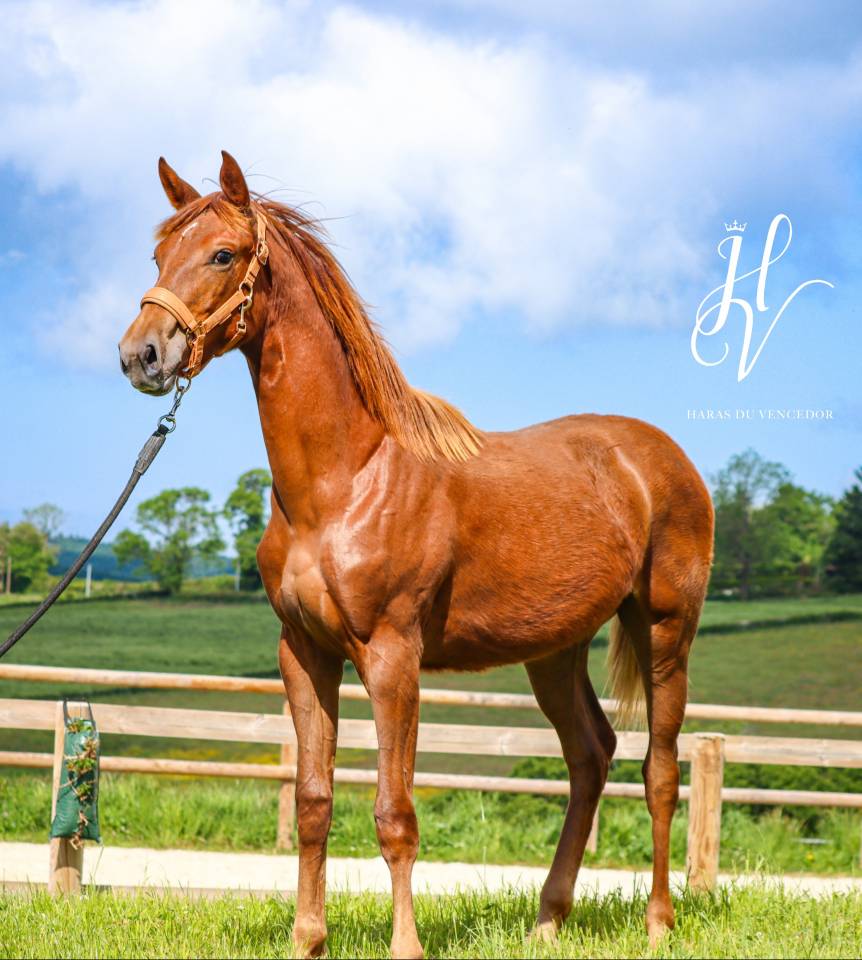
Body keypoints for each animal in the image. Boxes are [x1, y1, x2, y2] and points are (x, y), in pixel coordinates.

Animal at [119, 151, 714, 959]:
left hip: (664, 631)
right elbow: (313, 801)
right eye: (158, 257)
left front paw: (406, 945)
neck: (345, 481)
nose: (141, 355)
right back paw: (547, 920)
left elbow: (394, 813)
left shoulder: (392, 657)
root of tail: (661, 458)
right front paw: (307, 940)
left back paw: (657, 922)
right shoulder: (304, 653)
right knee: (590, 756)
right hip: (553, 651)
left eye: (223, 254)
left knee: (659, 769)